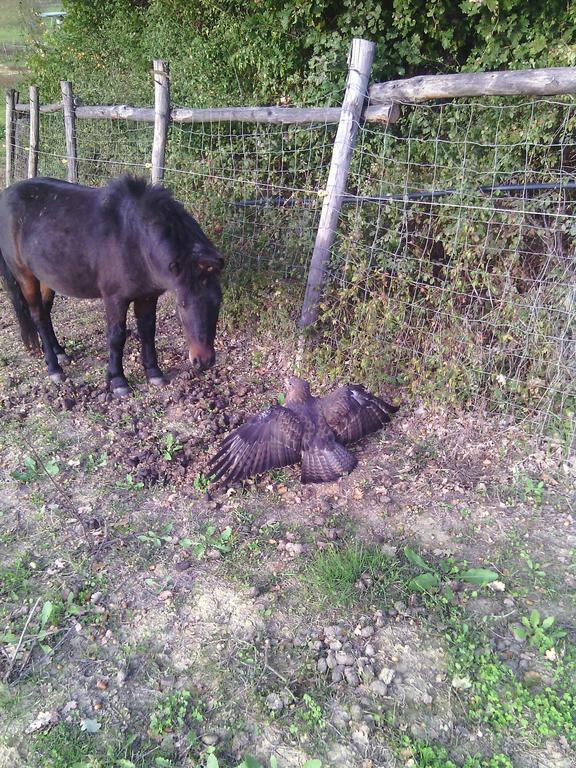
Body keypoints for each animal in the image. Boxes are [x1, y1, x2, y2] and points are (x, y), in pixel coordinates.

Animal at [0, 176, 223, 396]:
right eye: (182, 305)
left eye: (218, 302)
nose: (204, 361)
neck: (135, 240)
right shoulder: (115, 299)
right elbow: (116, 337)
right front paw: (118, 381)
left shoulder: (148, 296)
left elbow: (148, 330)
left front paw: (154, 372)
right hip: (26, 277)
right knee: (38, 316)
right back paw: (54, 368)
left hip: (47, 278)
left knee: (46, 315)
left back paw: (59, 353)